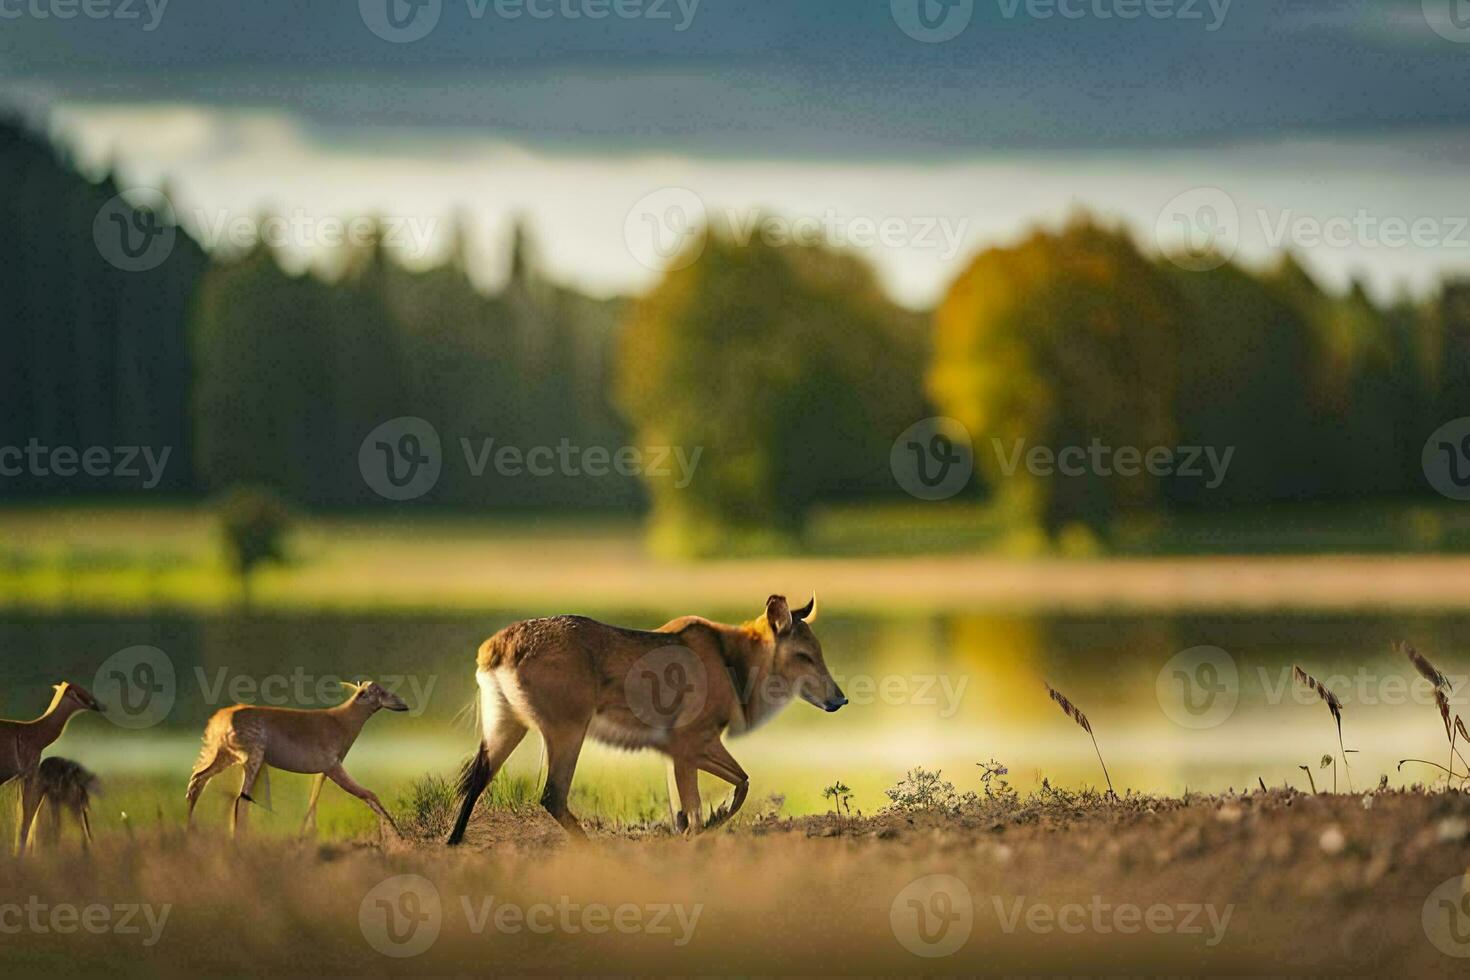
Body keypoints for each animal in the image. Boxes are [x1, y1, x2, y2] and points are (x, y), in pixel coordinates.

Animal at [188, 681, 414, 834]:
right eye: (380, 691)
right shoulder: (333, 767)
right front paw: (397, 834)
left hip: (223, 756)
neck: (342, 721)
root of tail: (220, 718)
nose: (404, 704)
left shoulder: (323, 771)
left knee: (197, 782)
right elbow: (368, 793)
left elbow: (312, 804)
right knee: (239, 798)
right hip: (252, 759)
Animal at [441, 593, 846, 846]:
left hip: (507, 726)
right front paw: (710, 824)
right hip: (567, 731)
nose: (839, 698)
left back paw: (454, 842)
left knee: (474, 781)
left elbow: (687, 807)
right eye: (804, 655)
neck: (735, 664)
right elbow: (725, 792)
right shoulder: (689, 742)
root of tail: (496, 646)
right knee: (552, 795)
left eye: (819, 651)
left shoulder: (674, 752)